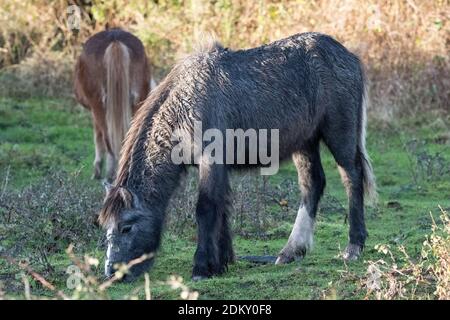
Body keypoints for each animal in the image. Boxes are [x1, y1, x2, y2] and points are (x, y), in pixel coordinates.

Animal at [74, 28, 151, 181]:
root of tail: (115, 39)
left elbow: (98, 137)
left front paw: (97, 171)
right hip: (137, 103)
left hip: (98, 105)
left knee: (107, 139)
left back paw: (110, 174)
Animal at [98, 33, 376, 280]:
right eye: (106, 227)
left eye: (126, 227)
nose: (112, 273)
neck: (184, 105)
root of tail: (348, 56)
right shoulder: (219, 167)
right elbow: (222, 208)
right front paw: (221, 262)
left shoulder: (210, 162)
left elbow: (206, 208)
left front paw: (202, 267)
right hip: (304, 143)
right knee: (312, 184)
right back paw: (291, 251)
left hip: (339, 134)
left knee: (352, 177)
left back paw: (353, 247)